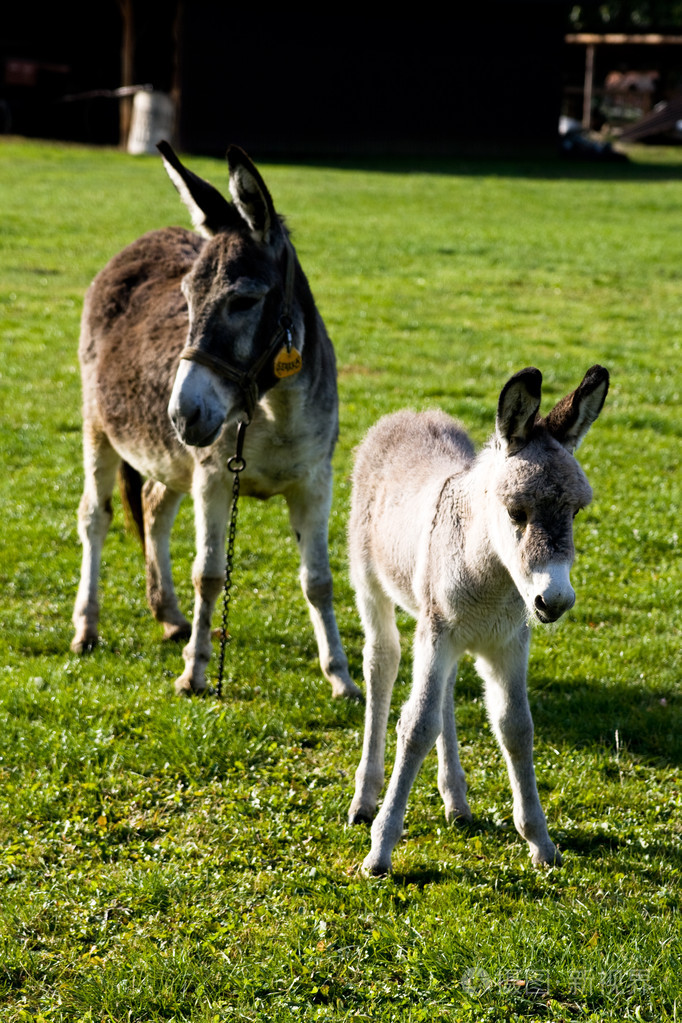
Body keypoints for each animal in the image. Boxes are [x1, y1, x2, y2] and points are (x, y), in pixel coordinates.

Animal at [349, 364, 609, 875]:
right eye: (515, 512)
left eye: (575, 511)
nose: (555, 601)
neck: (490, 581)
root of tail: (409, 414)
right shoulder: (437, 632)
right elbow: (416, 727)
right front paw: (380, 849)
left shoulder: (507, 643)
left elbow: (516, 727)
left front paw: (541, 843)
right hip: (371, 585)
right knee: (382, 664)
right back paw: (365, 799)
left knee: (445, 696)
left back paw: (456, 802)